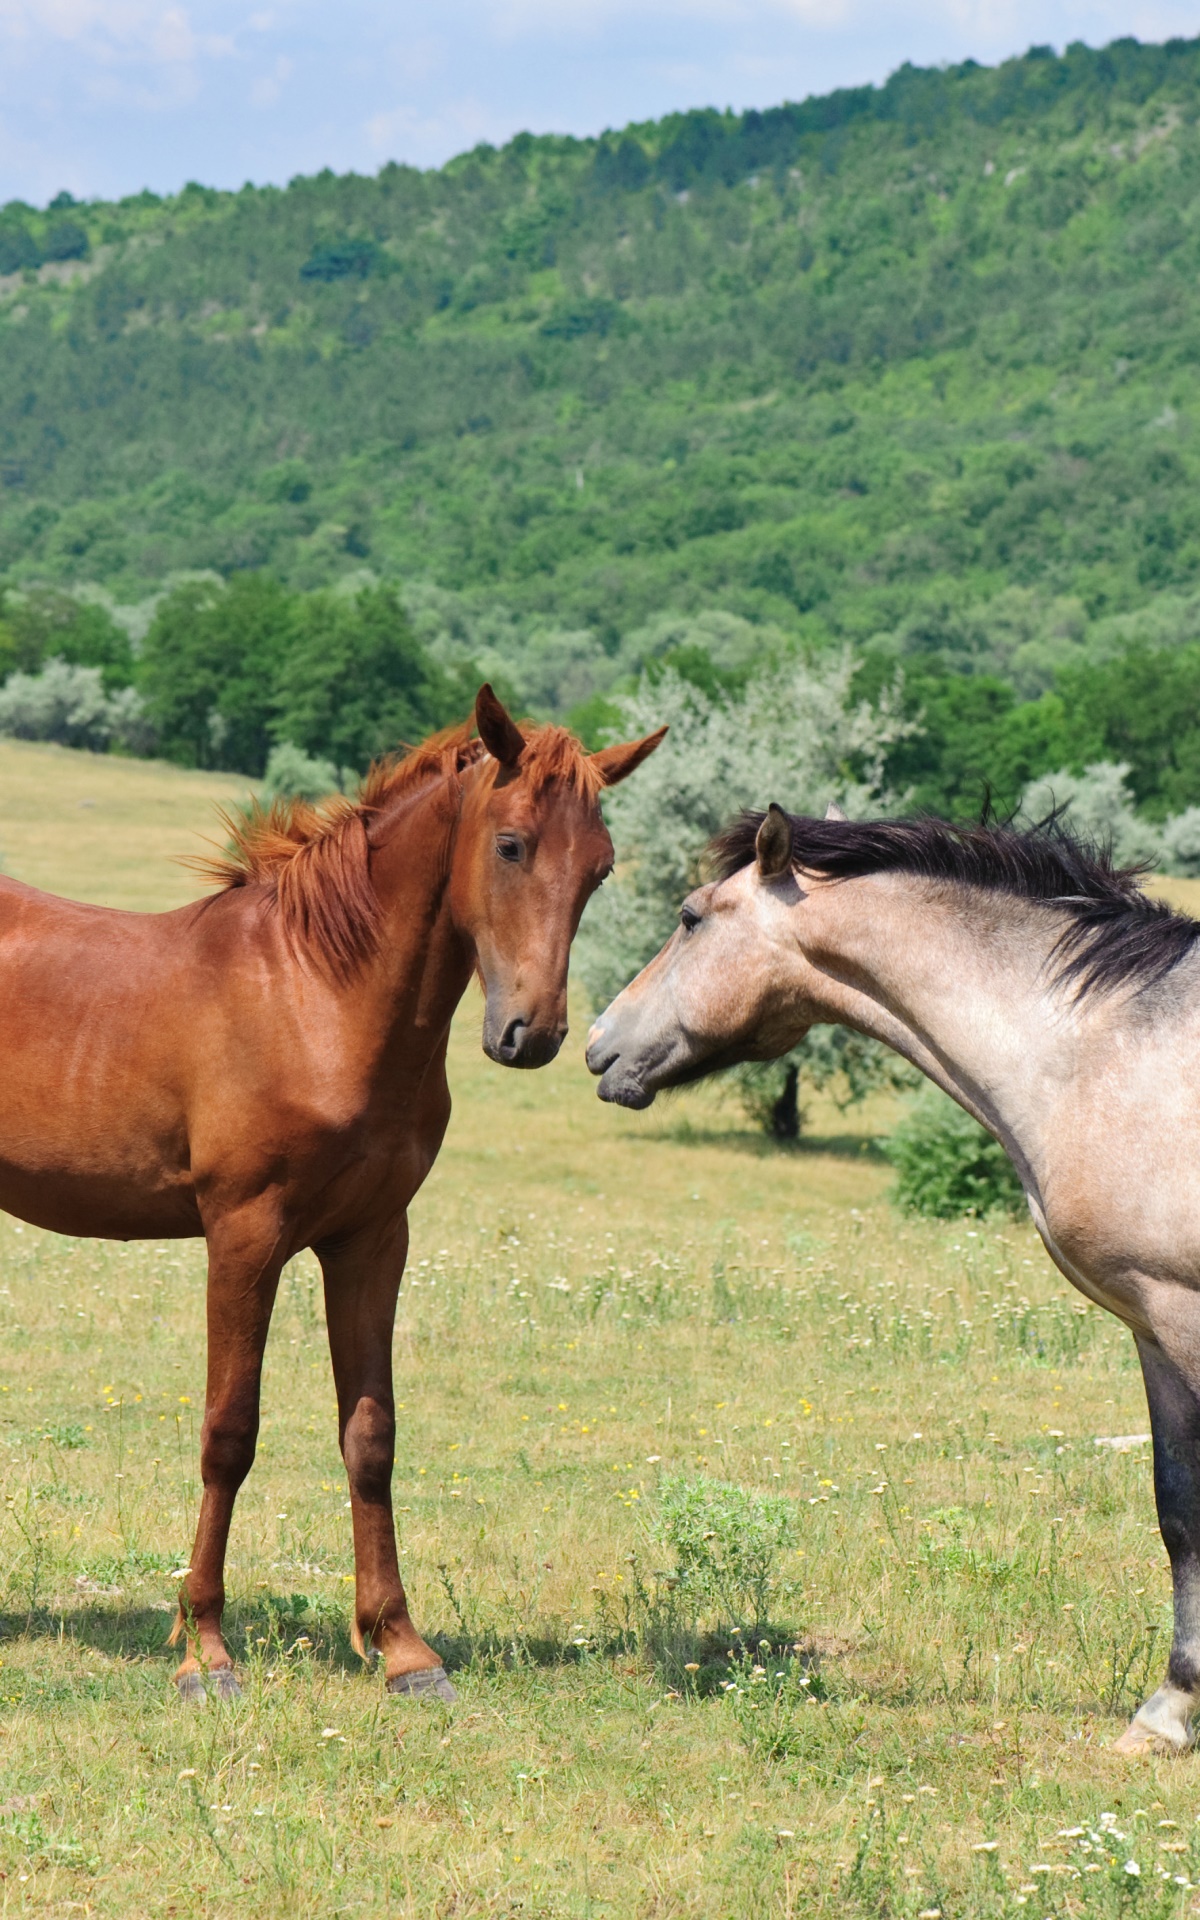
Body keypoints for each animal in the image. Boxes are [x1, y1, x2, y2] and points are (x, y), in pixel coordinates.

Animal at [0, 685, 663, 1703]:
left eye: (602, 867)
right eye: (511, 844)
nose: (534, 1034)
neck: (314, 995)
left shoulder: (371, 1239)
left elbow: (371, 1436)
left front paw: (401, 1648)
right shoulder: (244, 1236)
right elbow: (229, 1432)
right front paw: (205, 1650)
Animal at [586, 800, 1200, 1755]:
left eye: (689, 917)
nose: (596, 1043)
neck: (1107, 1048)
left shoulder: (1184, 1318)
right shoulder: (1153, 1331)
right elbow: (1178, 1512)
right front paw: (1168, 1712)